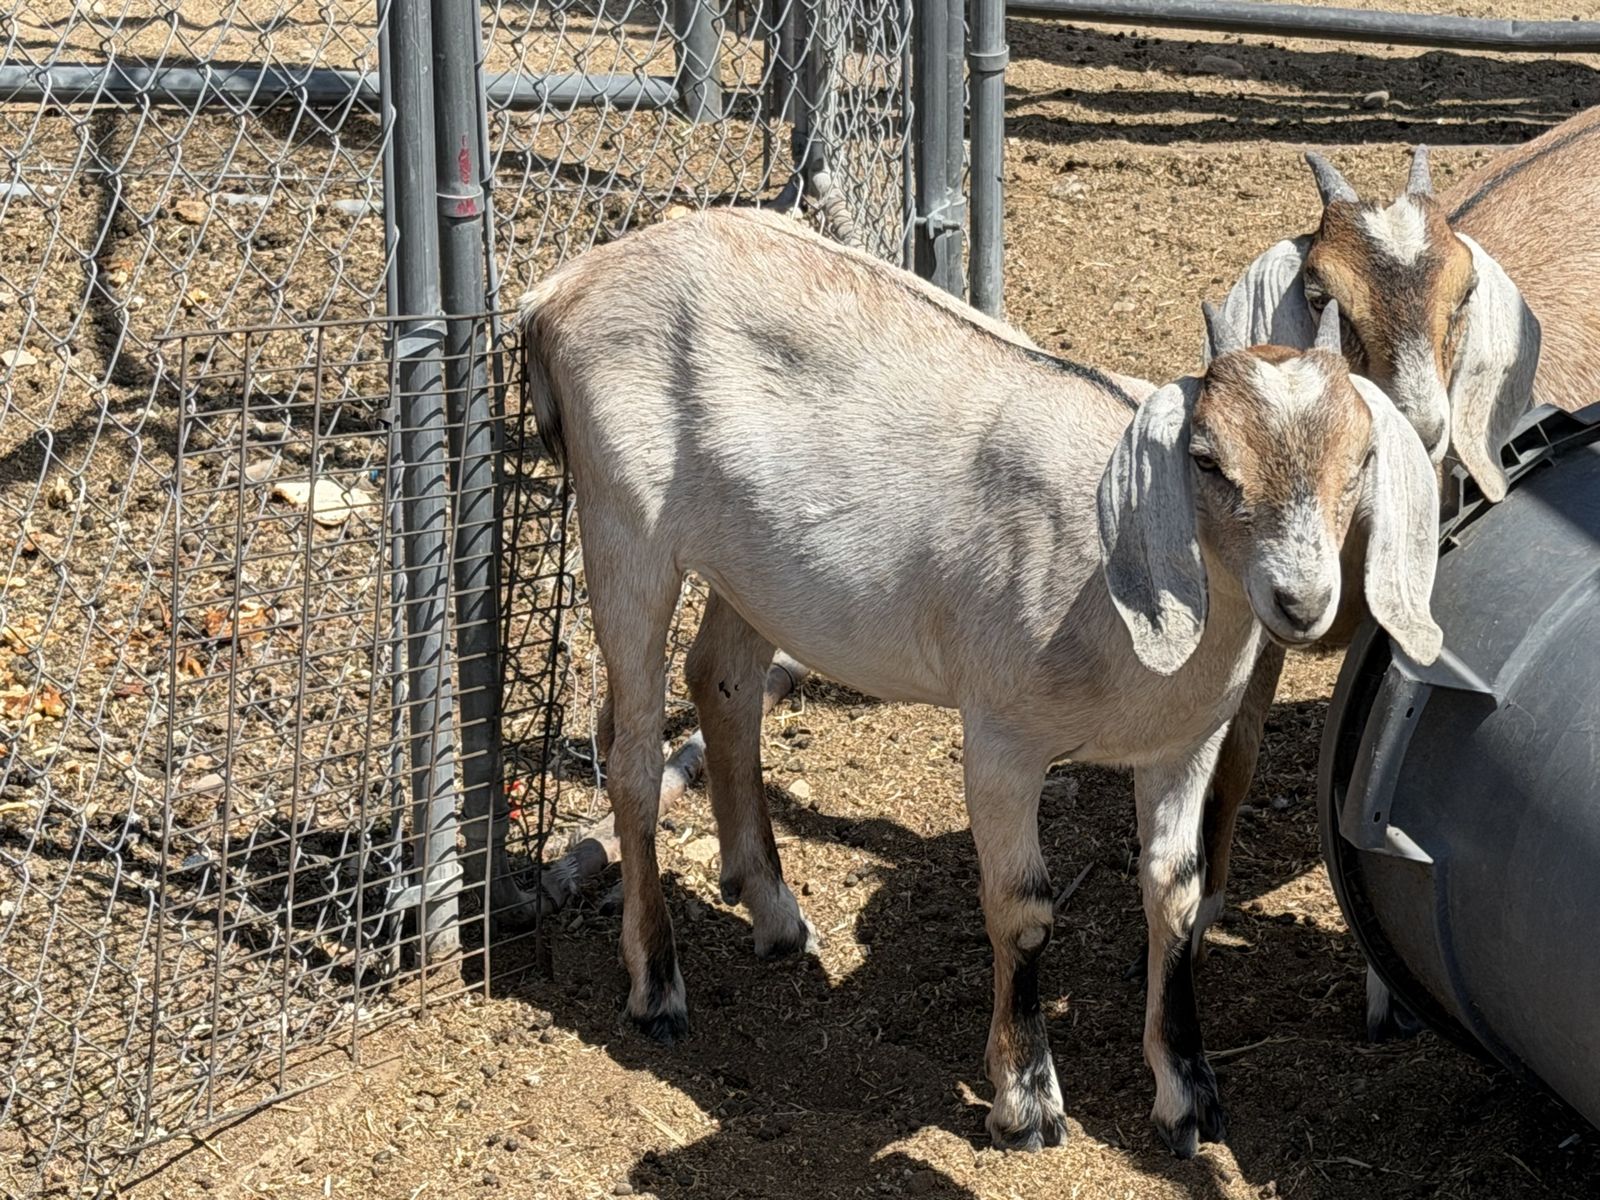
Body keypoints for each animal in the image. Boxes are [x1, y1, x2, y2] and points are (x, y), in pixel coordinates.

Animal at [518, 206, 1442, 1157]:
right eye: (1208, 459)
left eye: (1362, 457)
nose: (1302, 600)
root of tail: (559, 291)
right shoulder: (1002, 735)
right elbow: (1022, 905)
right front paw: (1027, 1102)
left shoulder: (1185, 743)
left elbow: (1177, 896)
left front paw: (1188, 1097)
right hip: (624, 524)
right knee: (630, 754)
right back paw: (657, 987)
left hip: (755, 566)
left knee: (723, 685)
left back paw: (775, 913)